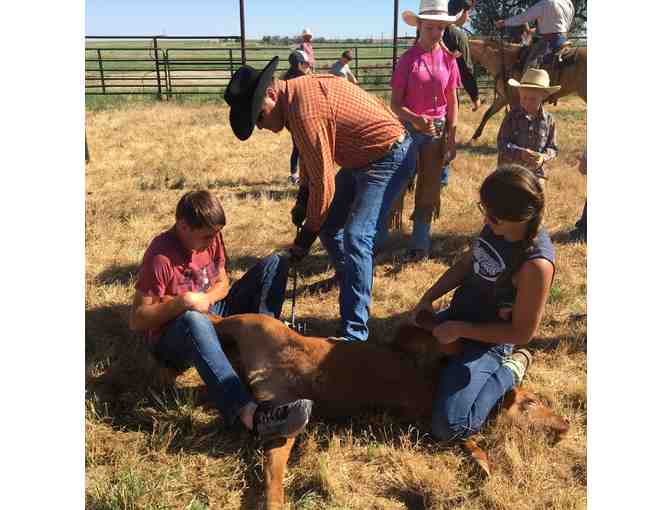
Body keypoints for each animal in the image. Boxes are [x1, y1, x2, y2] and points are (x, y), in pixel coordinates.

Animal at [203, 312, 568, 508]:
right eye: (532, 402)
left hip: (283, 424)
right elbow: (447, 337)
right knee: (211, 317)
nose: (566, 426)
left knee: (271, 476)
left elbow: (465, 439)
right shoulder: (413, 339)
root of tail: (257, 373)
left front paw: (483, 462)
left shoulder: (429, 421)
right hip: (250, 322)